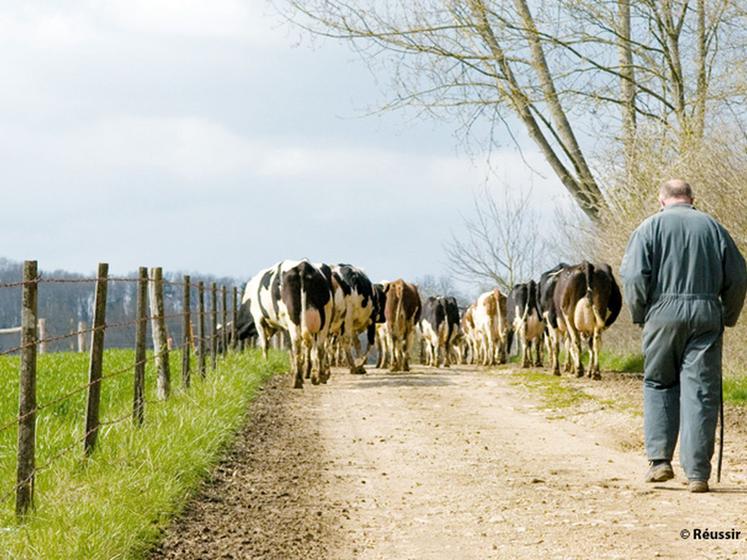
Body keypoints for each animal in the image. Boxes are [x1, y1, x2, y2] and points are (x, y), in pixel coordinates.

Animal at [241, 260, 332, 388]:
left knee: (297, 344)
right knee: (319, 347)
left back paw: (297, 380)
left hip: (292, 319)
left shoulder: (260, 320)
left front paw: (265, 364)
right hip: (325, 320)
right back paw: (318, 377)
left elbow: (267, 345)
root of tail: (302, 266)